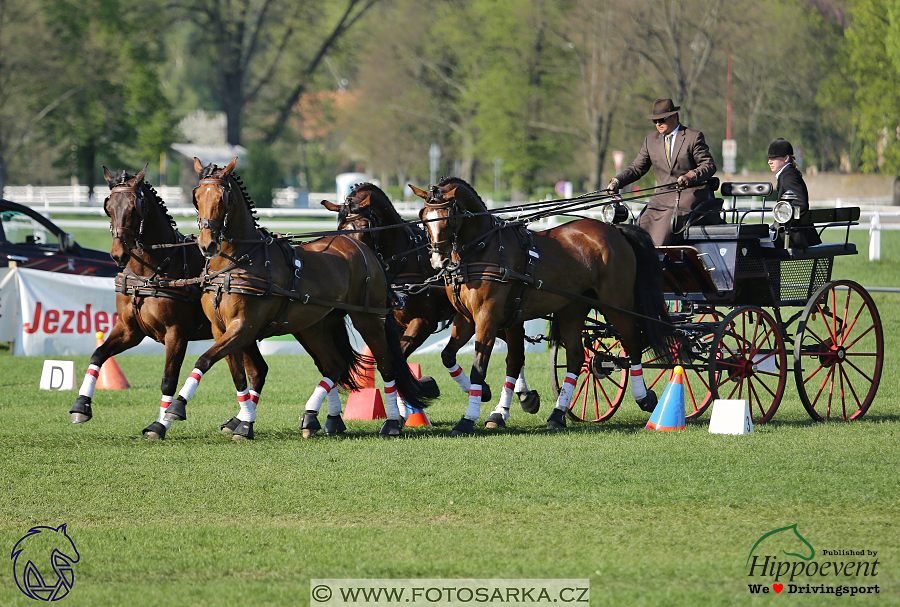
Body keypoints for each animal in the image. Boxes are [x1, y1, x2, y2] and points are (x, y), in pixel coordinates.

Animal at [165, 159, 426, 436]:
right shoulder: (220, 329)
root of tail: (365, 250)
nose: (208, 244)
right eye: (196, 197)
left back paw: (391, 422)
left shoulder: (243, 327)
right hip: (315, 325)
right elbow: (236, 375)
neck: (237, 262)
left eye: (223, 197)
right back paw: (319, 419)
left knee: (386, 364)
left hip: (368, 320)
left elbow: (205, 360)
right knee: (333, 365)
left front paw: (175, 409)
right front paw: (242, 421)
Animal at [322, 183, 540, 426]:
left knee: (515, 355)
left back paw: (512, 403)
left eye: (366, 227)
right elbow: (397, 361)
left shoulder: (423, 322)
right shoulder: (397, 325)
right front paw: (405, 409)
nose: (356, 259)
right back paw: (522, 396)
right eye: (341, 228)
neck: (404, 259)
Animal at [412, 178, 672, 434]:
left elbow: (480, 366)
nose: (437, 260)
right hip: (573, 308)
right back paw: (557, 415)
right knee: (577, 357)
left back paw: (643, 397)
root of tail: (615, 229)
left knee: (633, 342)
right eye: (424, 217)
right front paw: (490, 402)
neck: (483, 249)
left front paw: (468, 418)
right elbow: (450, 355)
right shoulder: (468, 318)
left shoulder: (487, 317)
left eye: (448, 217)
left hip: (616, 303)